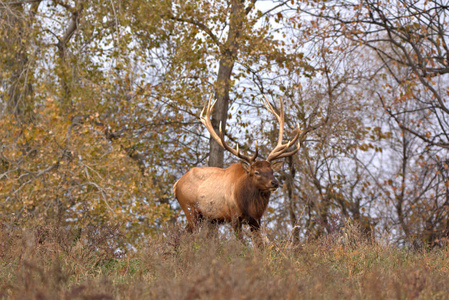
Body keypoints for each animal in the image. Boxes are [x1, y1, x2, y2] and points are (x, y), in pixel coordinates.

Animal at [173, 96, 300, 246]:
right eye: (256, 172)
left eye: (272, 171)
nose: (274, 183)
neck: (247, 204)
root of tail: (176, 184)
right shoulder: (234, 216)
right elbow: (242, 243)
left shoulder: (256, 220)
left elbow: (259, 245)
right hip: (190, 209)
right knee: (190, 236)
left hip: (205, 217)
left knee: (181, 235)